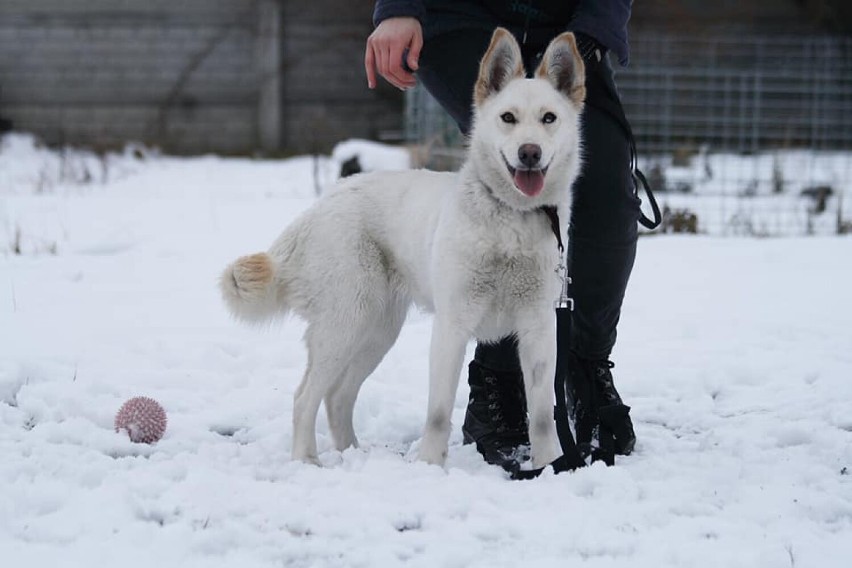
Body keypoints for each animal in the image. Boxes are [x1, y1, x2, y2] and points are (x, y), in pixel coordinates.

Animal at [220, 28, 584, 468]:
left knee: (337, 396)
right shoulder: (451, 327)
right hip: (345, 326)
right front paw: (429, 467)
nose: (529, 153)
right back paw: (307, 461)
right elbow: (439, 413)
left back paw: (353, 455)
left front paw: (551, 467)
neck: (509, 220)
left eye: (549, 118)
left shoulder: (539, 330)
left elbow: (545, 415)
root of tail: (324, 203)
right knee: (305, 396)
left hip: (377, 332)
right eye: (507, 118)